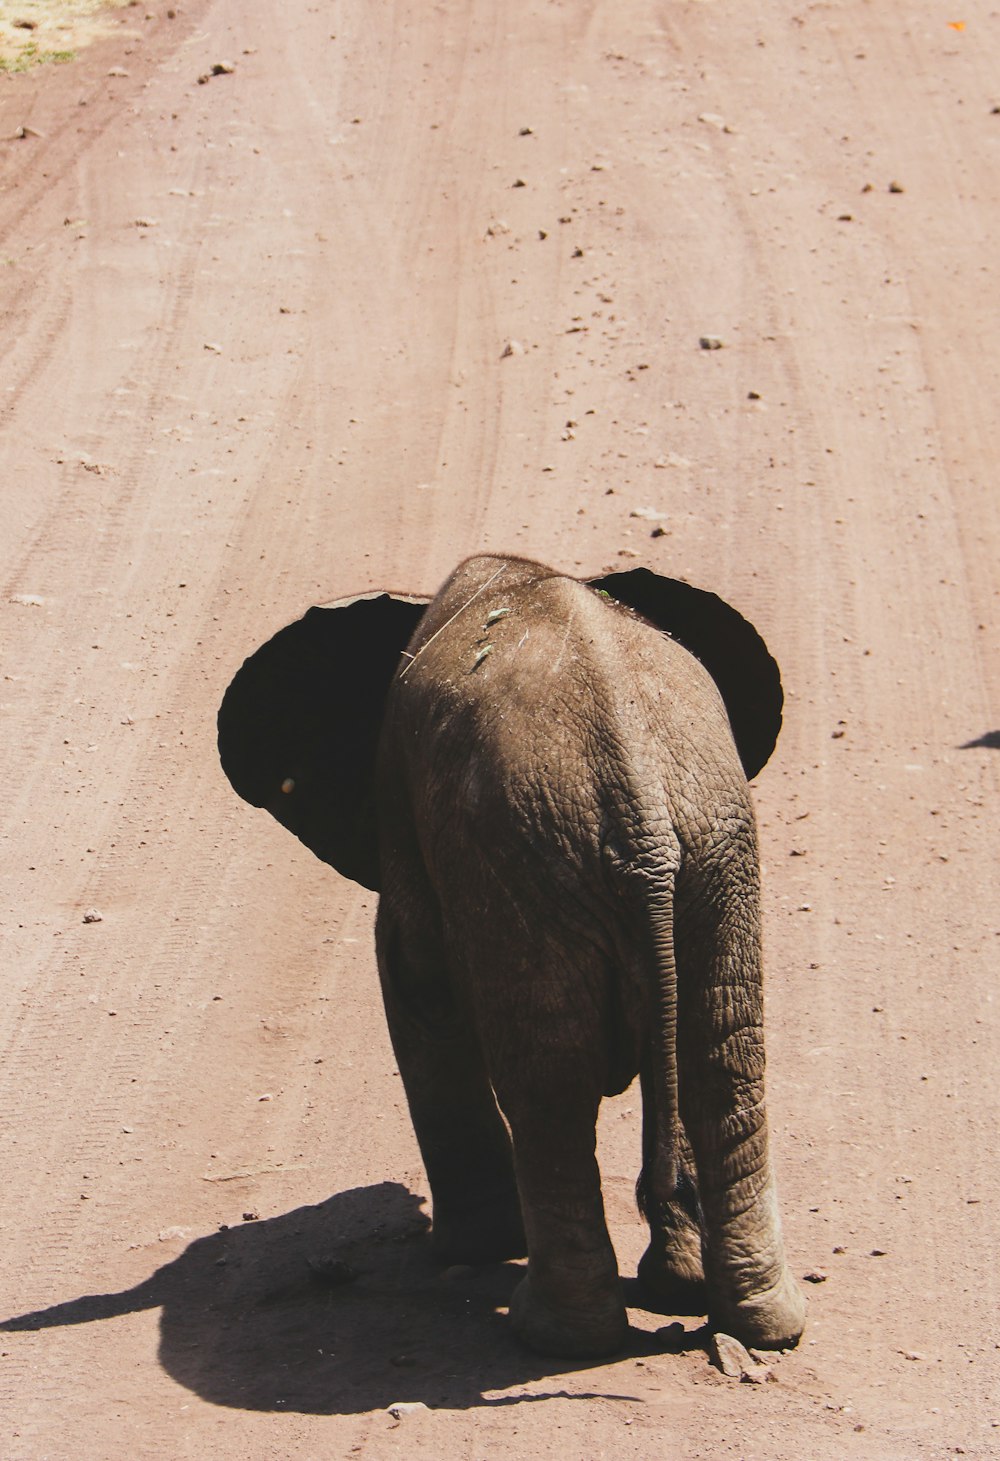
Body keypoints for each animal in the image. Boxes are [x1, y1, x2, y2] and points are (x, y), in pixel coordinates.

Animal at [219, 552, 807, 1349]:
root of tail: (644, 817)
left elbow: (416, 982)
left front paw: (472, 1250)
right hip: (710, 851)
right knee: (717, 1056)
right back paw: (745, 1316)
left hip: (527, 860)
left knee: (551, 1082)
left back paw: (555, 1333)